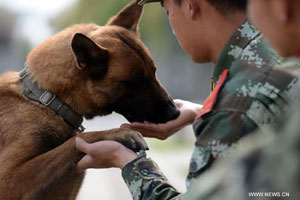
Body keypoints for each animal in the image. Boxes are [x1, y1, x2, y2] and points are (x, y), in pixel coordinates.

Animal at [0, 1, 178, 200]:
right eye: (136, 80)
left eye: (154, 72)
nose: (176, 112)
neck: (47, 102)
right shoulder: (8, 181)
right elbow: (78, 138)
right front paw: (118, 133)